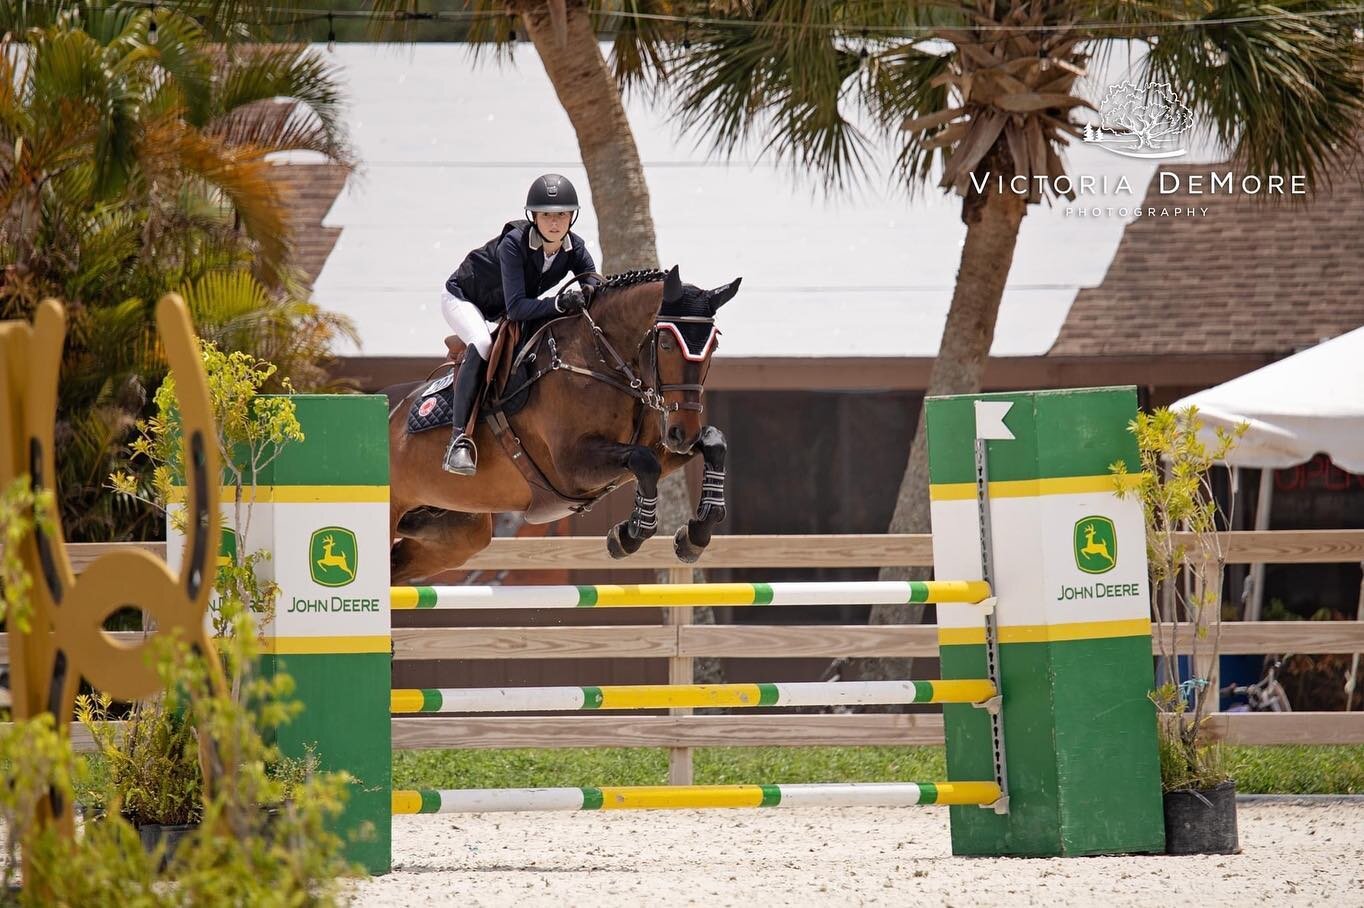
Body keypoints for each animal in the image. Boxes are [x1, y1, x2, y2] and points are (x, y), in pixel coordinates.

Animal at [384, 265, 742, 583]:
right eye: (666, 344)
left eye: (714, 346)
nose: (683, 433)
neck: (601, 360)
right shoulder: (570, 468)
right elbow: (644, 461)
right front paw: (629, 536)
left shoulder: (652, 448)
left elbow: (713, 442)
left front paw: (694, 535)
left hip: (457, 533)